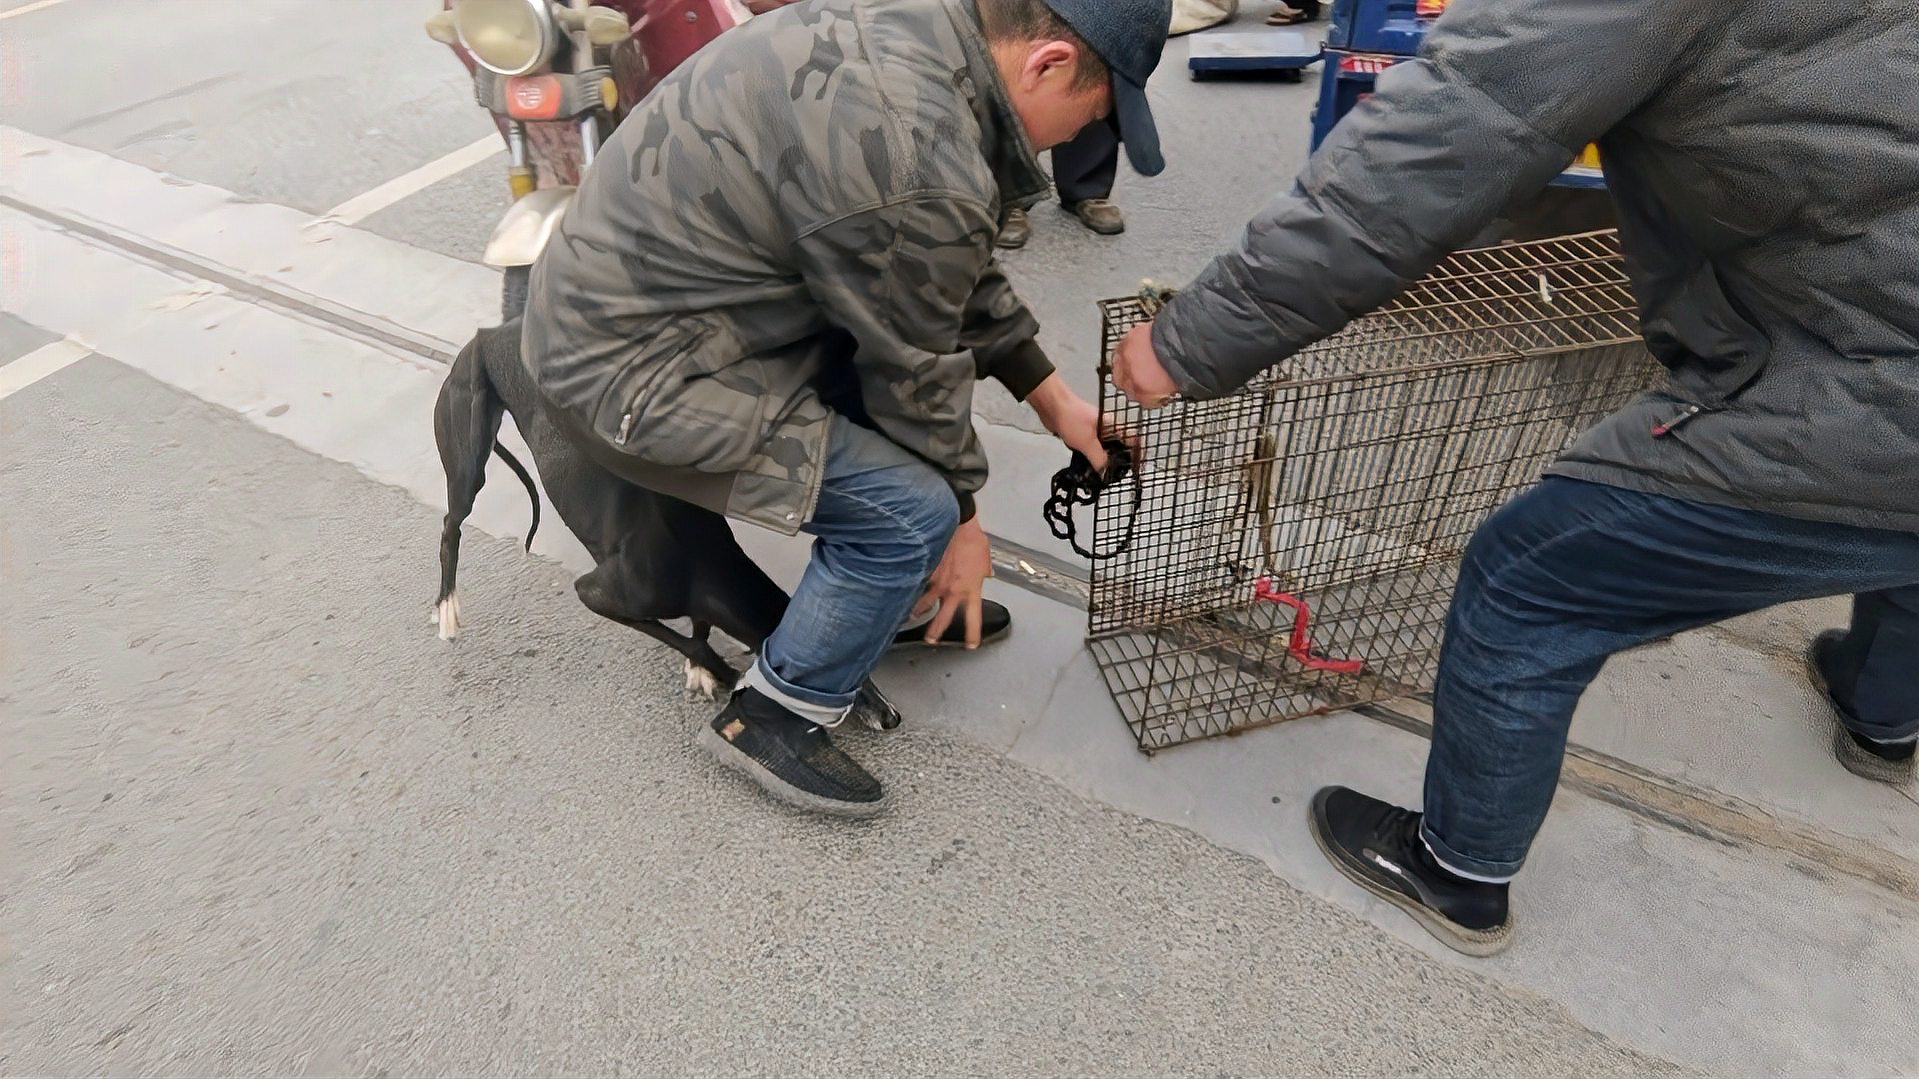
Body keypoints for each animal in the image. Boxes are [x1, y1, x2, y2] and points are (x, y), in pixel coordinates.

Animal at [431, 314, 901, 725]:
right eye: (843, 684)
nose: (892, 718)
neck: (705, 565)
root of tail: (489, 334)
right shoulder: (597, 593)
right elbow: (676, 635)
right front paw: (715, 668)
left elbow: (698, 626)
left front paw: (700, 666)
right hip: (468, 445)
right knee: (451, 526)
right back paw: (447, 607)